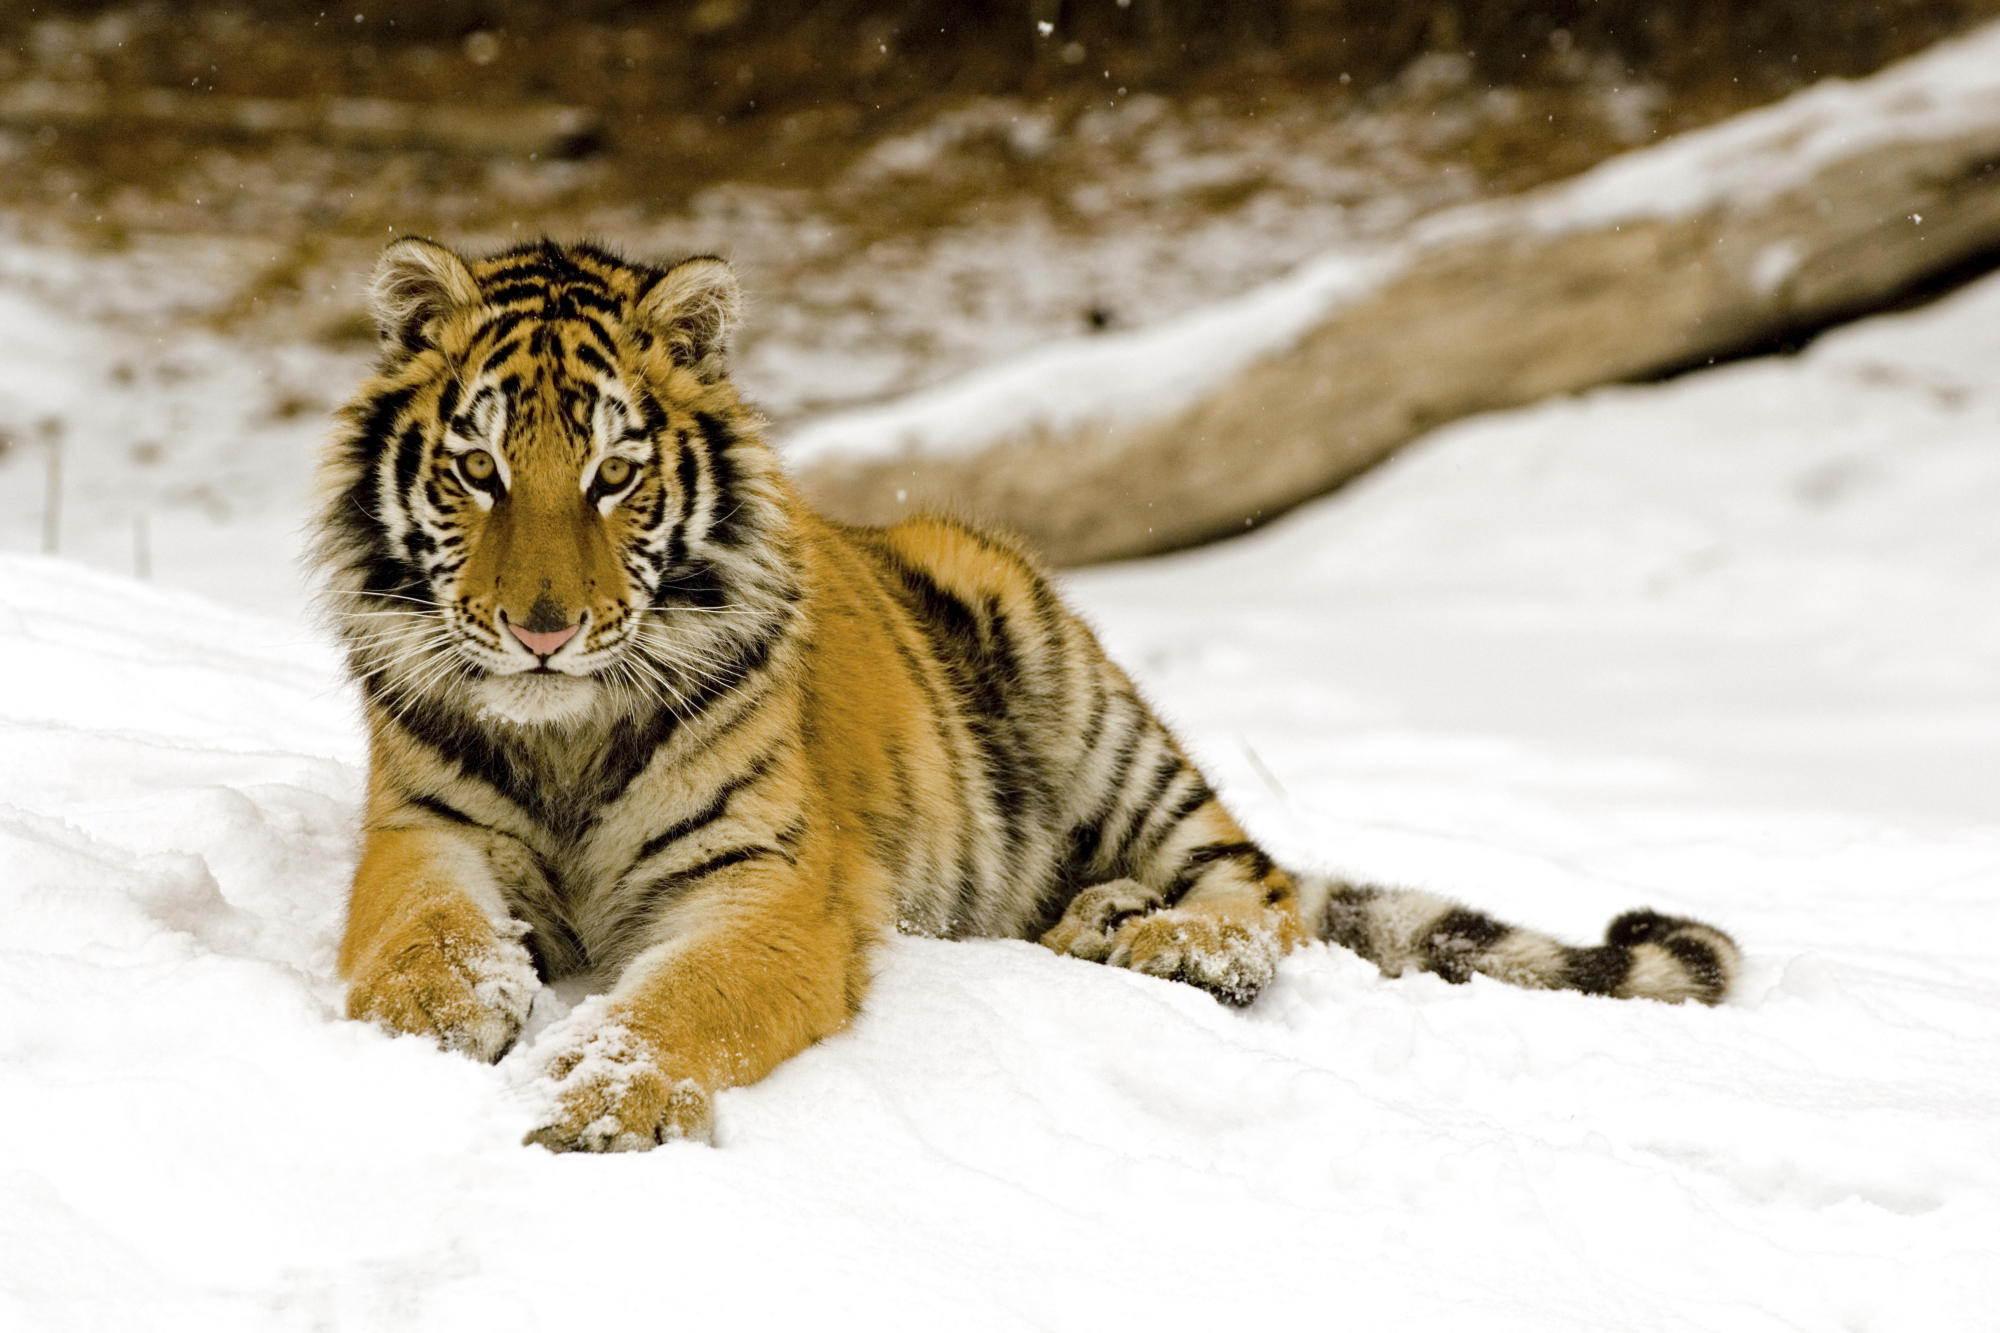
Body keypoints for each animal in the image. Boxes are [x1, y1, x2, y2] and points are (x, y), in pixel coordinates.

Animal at [312, 239, 1736, 1152]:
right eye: (479, 470)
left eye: (613, 474)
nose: (542, 629)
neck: (564, 732)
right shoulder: (422, 828)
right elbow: (418, 931)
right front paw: (435, 1021)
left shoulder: (770, 884)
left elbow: (683, 1000)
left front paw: (602, 1098)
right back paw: (1098, 921)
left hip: (1080, 693)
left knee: (1260, 888)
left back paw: (1170, 940)